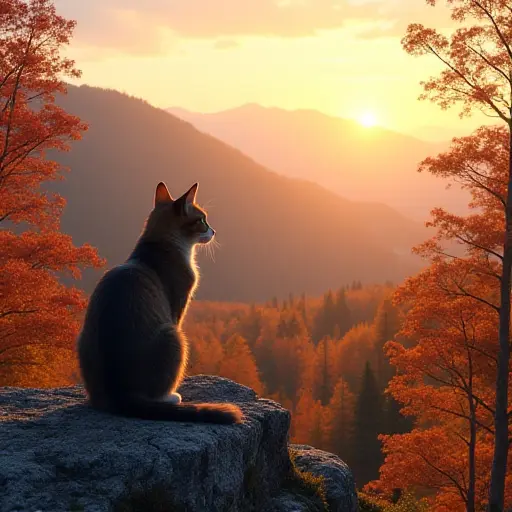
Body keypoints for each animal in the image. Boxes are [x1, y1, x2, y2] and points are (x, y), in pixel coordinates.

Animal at [77, 181, 243, 424]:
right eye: (202, 220)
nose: (213, 231)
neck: (161, 244)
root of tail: (121, 394)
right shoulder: (178, 307)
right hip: (174, 335)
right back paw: (171, 397)